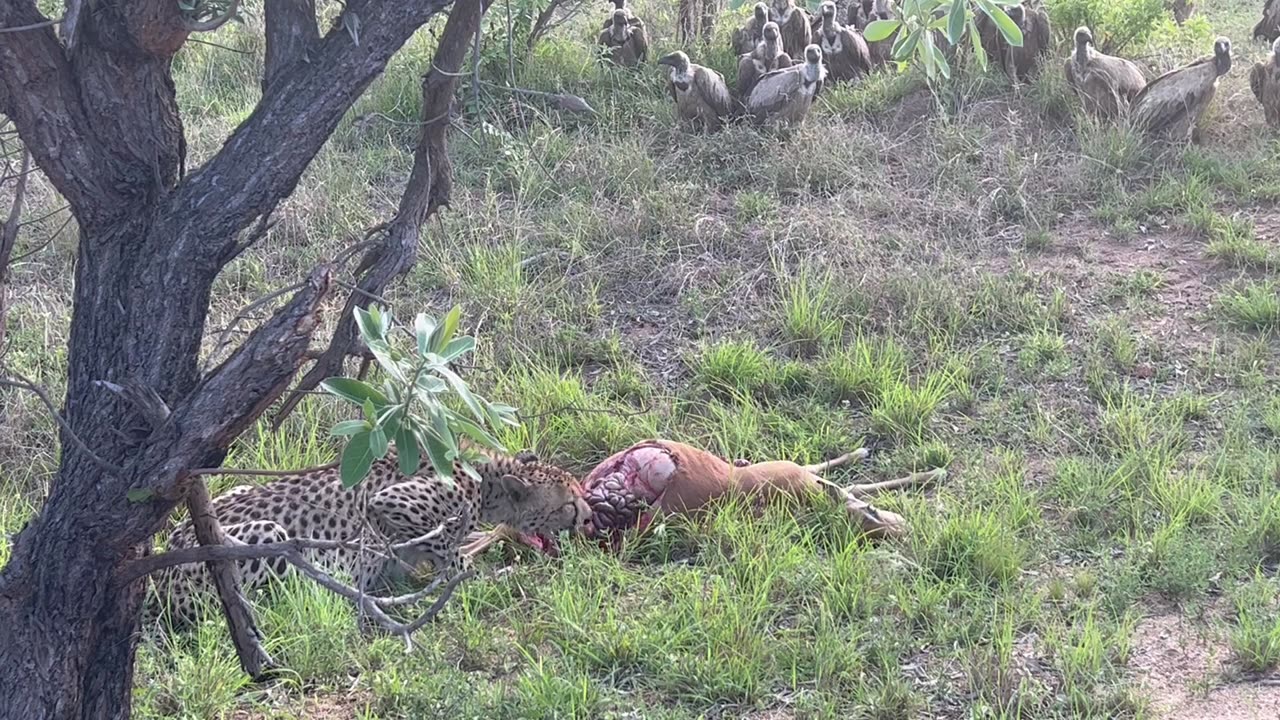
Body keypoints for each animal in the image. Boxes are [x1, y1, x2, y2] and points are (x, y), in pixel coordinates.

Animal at [149, 443, 588, 622]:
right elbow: (450, 553)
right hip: (271, 535)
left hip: (230, 493)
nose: (586, 516)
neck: (489, 481)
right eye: (568, 503)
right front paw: (482, 575)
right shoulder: (393, 502)